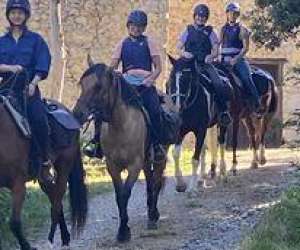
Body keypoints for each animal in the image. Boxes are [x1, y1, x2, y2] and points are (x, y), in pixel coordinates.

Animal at [0, 94, 87, 249]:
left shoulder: (18, 185)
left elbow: (14, 223)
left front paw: (27, 246)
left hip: (64, 166)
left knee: (57, 203)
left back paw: (51, 239)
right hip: (43, 178)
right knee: (55, 199)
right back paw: (65, 237)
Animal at [72, 58, 166, 242]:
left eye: (98, 86)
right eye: (82, 84)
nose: (77, 114)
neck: (121, 126)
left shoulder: (134, 166)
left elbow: (125, 194)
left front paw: (124, 230)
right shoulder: (112, 166)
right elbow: (118, 195)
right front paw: (123, 230)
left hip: (159, 158)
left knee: (157, 182)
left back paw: (153, 216)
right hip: (146, 161)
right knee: (150, 182)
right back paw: (152, 214)